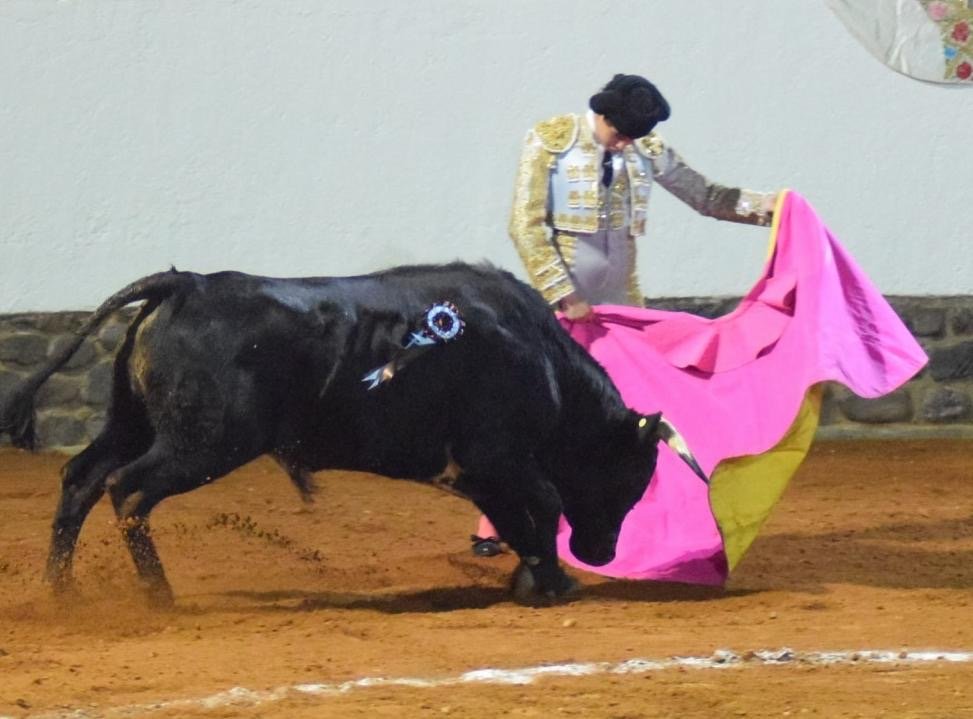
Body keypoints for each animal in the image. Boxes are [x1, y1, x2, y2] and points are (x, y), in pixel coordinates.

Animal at [0, 262, 705, 606]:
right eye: (631, 478)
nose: (602, 554)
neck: (538, 356)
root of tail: (184, 285)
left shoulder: (481, 471)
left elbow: (517, 517)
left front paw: (536, 580)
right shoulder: (499, 457)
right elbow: (546, 503)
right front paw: (551, 583)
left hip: (135, 424)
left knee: (81, 479)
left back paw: (62, 591)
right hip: (202, 445)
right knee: (128, 490)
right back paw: (158, 597)